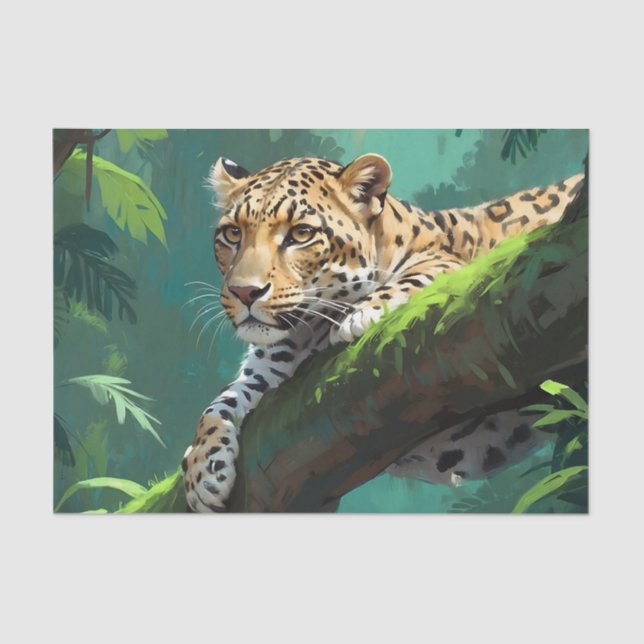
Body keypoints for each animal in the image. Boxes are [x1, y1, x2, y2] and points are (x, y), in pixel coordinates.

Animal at [181, 153, 584, 512]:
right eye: (233, 233)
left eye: (301, 234)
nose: (245, 292)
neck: (303, 333)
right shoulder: (265, 373)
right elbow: (217, 406)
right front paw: (202, 470)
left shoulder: (455, 265)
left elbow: (418, 275)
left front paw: (361, 314)